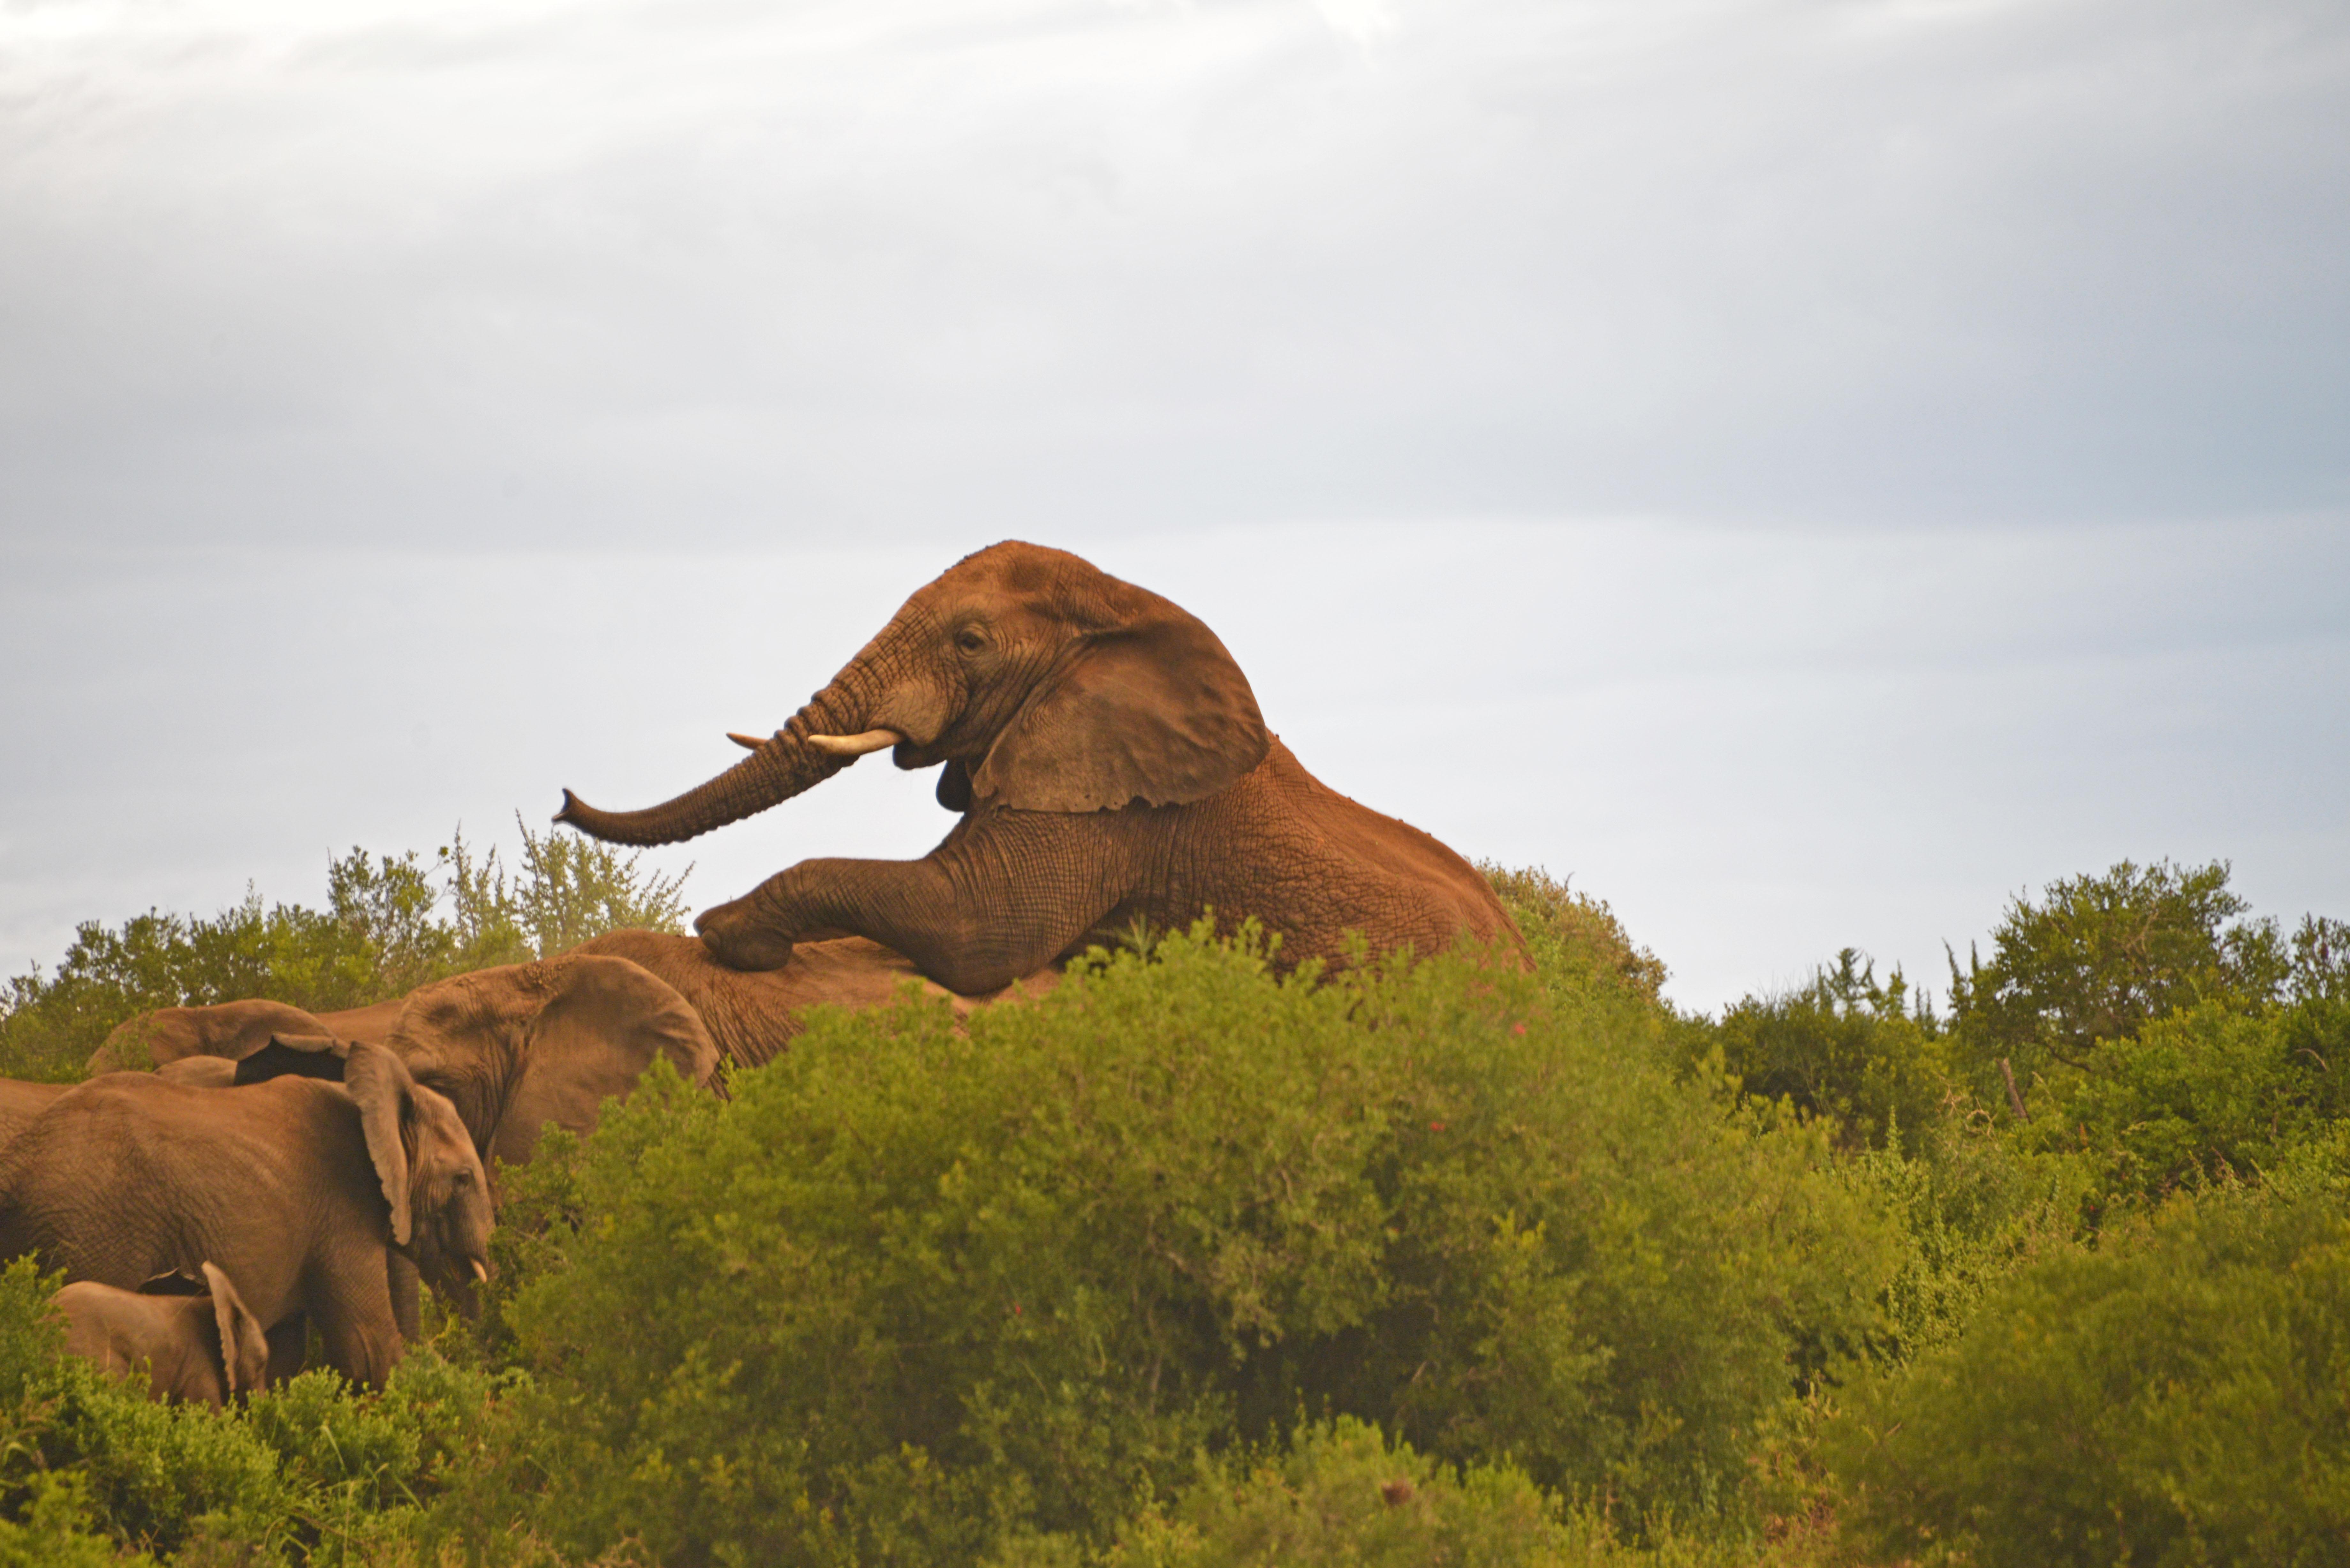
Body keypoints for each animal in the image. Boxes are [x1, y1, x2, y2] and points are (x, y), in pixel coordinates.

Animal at [559, 543, 1532, 992]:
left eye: (971, 641)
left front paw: (729, 933)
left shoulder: (1117, 810)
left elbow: (977, 930)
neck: (1119, 602)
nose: (564, 802)